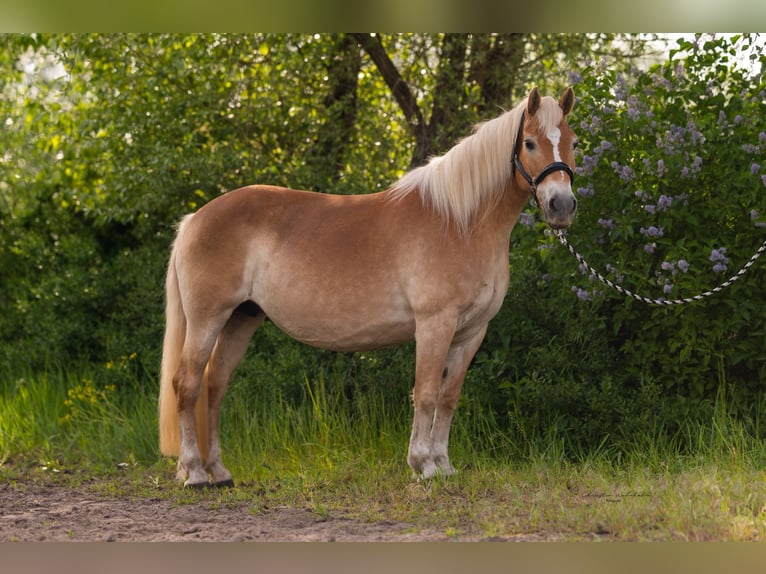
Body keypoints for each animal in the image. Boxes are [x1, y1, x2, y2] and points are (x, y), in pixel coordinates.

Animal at [158, 86, 578, 487]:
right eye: (529, 143)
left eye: (573, 141)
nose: (561, 205)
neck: (460, 222)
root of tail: (195, 218)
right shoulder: (434, 325)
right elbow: (426, 394)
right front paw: (423, 466)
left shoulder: (471, 332)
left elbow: (448, 398)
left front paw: (444, 466)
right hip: (207, 318)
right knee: (188, 384)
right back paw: (195, 473)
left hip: (241, 318)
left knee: (214, 386)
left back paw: (219, 471)